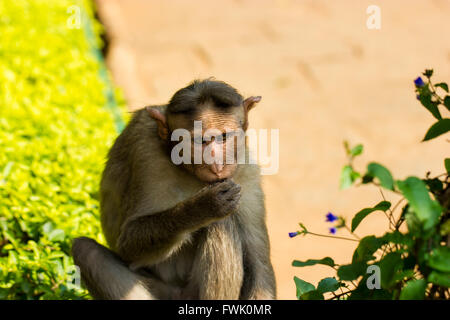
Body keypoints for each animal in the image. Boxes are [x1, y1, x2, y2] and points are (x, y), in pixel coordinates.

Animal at [72, 79, 276, 298]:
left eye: (224, 136)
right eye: (200, 141)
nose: (215, 159)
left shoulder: (247, 174)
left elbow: (259, 267)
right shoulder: (147, 155)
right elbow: (128, 244)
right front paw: (203, 206)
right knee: (86, 251)